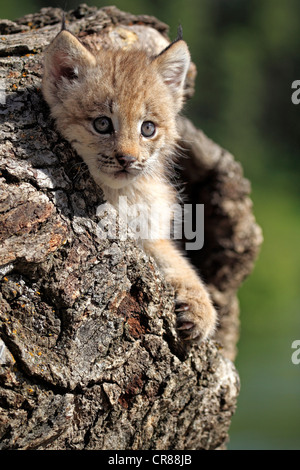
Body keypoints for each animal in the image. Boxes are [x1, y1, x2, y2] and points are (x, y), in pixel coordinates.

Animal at [41, 24, 216, 342]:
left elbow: (173, 256)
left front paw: (201, 307)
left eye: (148, 128)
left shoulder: (150, 229)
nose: (127, 159)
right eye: (102, 124)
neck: (124, 191)